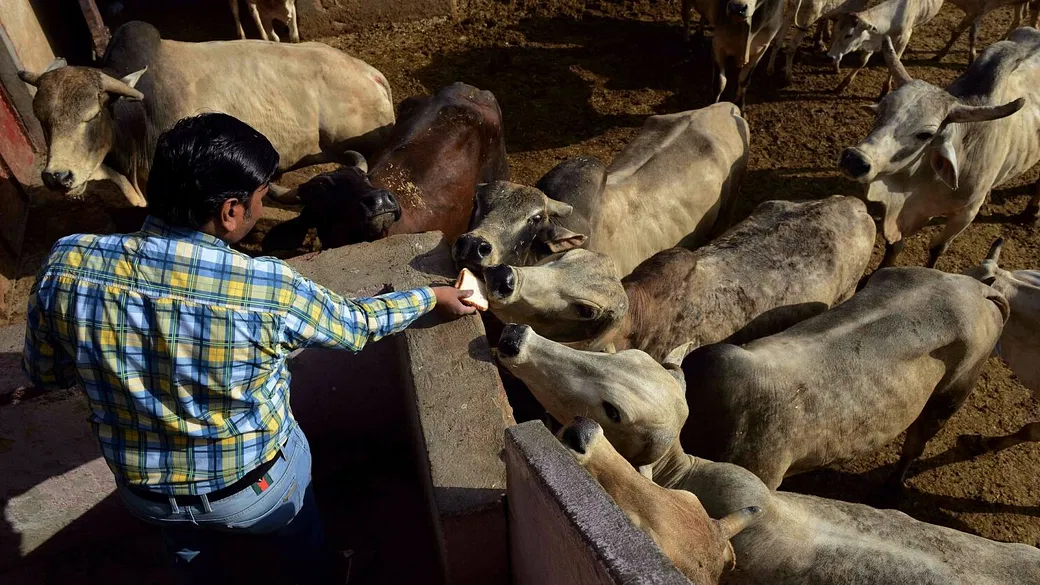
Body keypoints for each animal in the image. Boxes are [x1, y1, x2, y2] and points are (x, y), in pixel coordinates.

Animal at [839, 32, 1040, 269]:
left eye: (925, 134)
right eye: (881, 110)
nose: (854, 160)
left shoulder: (966, 214)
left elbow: (937, 248)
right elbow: (894, 246)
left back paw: (1031, 211)